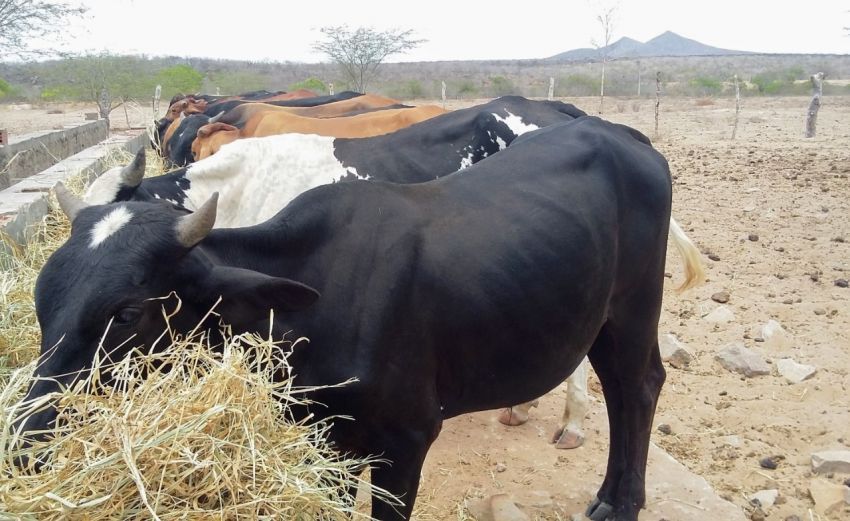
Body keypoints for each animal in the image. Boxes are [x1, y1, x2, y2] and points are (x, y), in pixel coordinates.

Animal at [23, 118, 692, 520]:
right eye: (41, 294)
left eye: (128, 312)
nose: (27, 436)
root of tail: (619, 133)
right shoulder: (332, 441)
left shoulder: (408, 441)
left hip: (633, 310)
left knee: (637, 387)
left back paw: (619, 500)